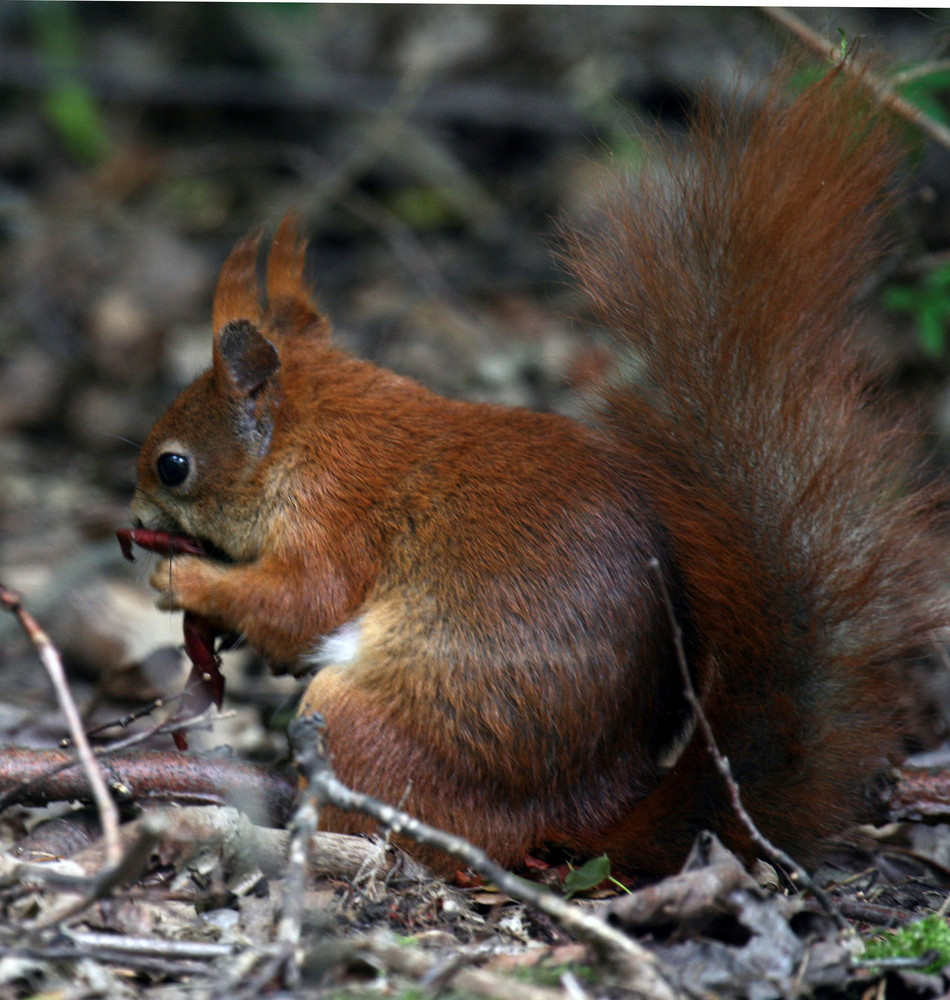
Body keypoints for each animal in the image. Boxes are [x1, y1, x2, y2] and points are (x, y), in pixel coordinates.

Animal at [126, 72, 950, 876]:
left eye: (174, 467)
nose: (134, 523)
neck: (312, 440)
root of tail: (581, 812)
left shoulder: (335, 524)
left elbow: (304, 603)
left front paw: (184, 582)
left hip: (368, 721)